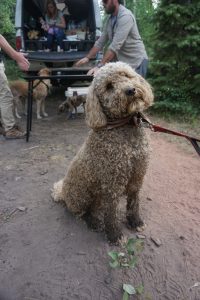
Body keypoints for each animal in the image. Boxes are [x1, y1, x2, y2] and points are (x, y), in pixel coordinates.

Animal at [51, 61, 153, 244]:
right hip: (82, 195)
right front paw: (115, 235)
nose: (130, 90)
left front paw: (136, 222)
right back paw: (93, 222)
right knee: (81, 213)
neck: (123, 127)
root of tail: (62, 193)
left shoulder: (137, 176)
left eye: (126, 75)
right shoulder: (112, 184)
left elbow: (134, 204)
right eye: (109, 86)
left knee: (94, 208)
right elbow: (111, 214)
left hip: (98, 195)